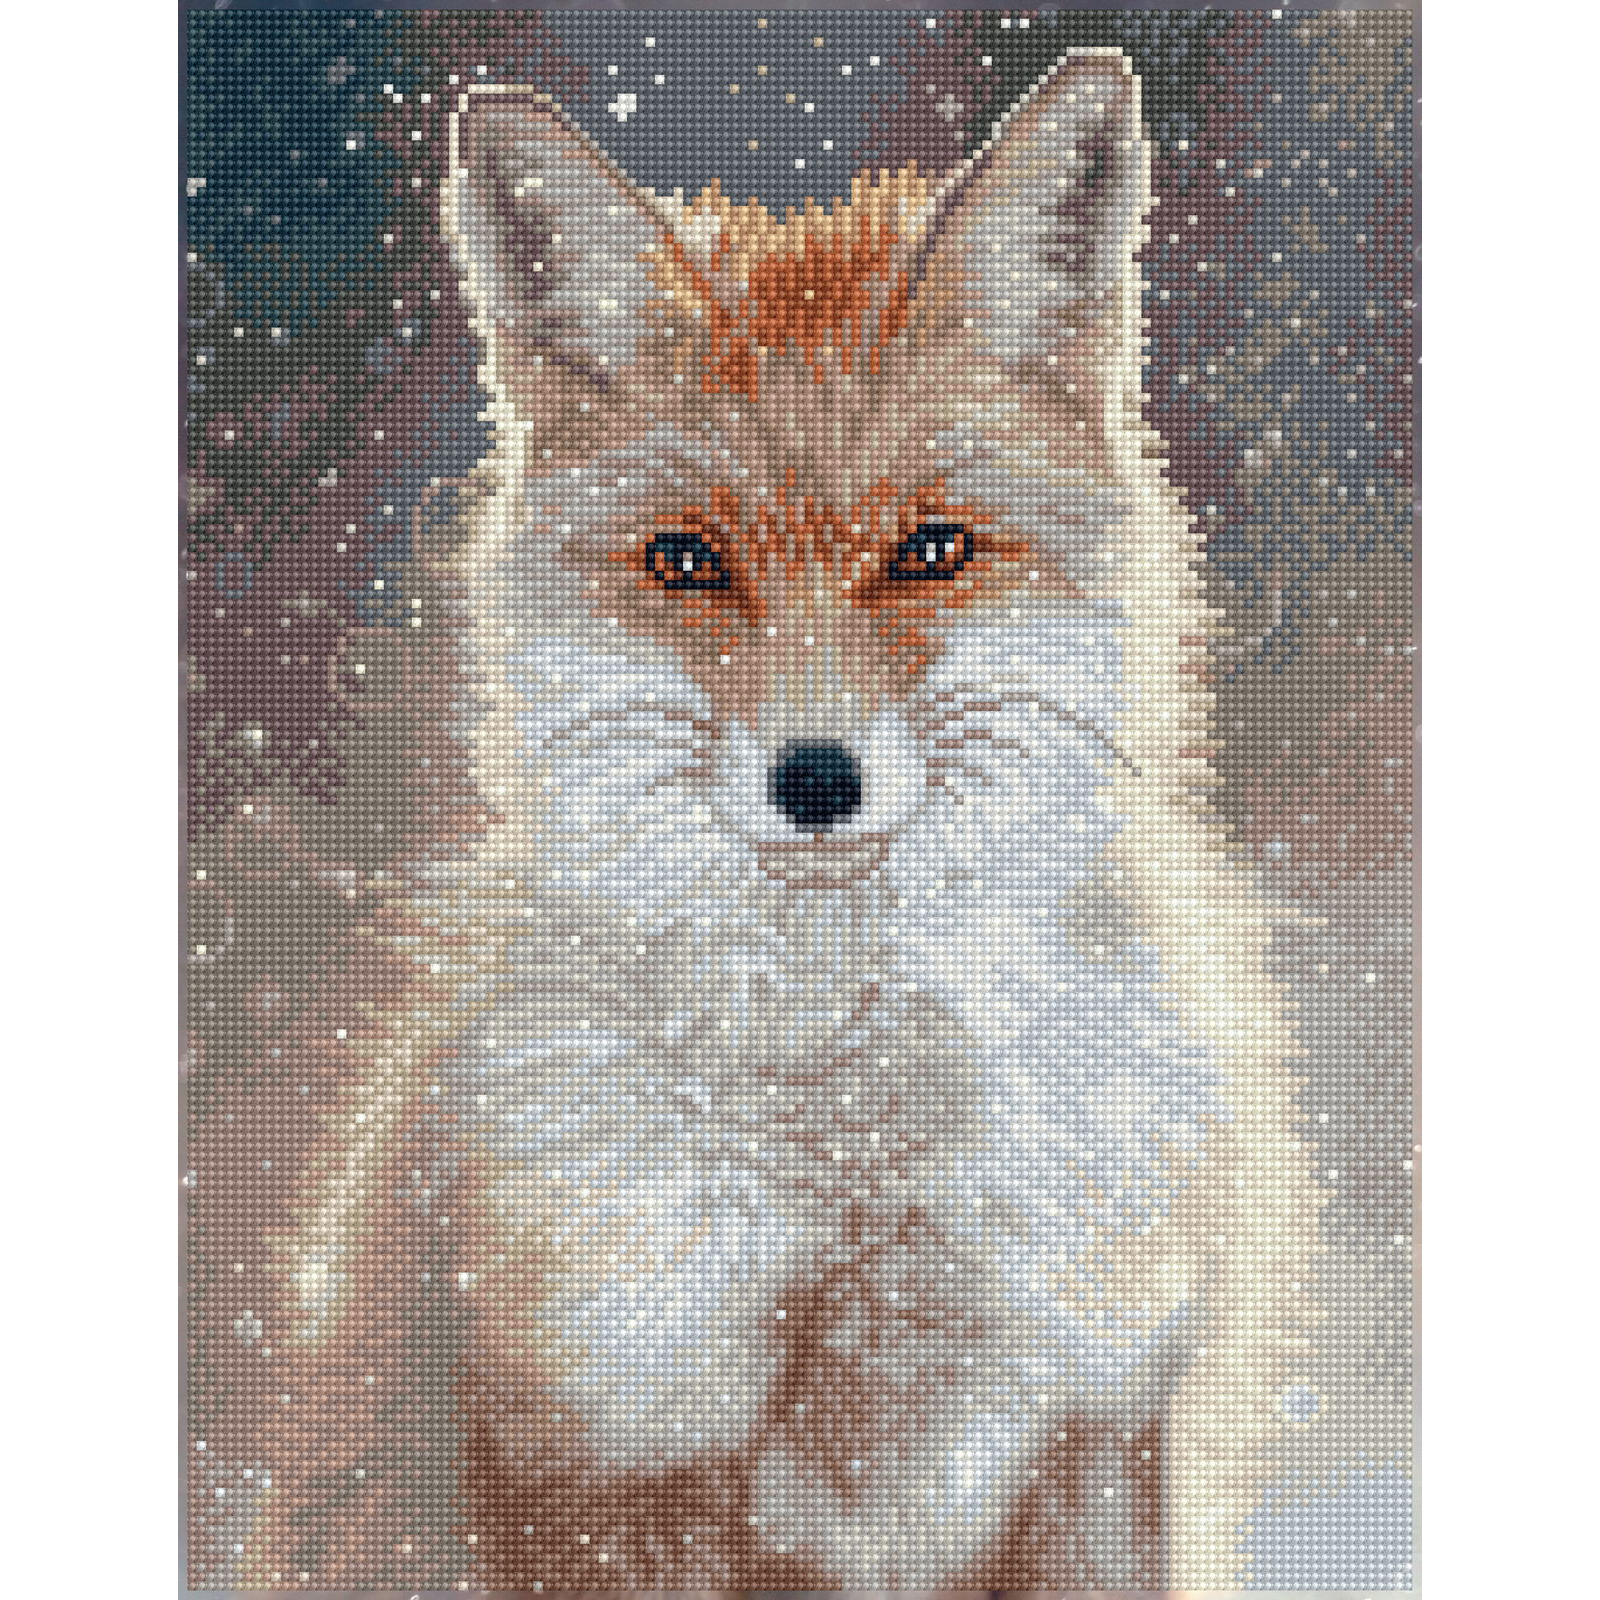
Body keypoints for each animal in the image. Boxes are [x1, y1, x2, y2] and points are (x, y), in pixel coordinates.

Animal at [257, 48, 1323, 1592]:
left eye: (931, 549)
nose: (816, 779)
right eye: (686, 561)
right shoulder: (600, 1462)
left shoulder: (1104, 1421)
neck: (862, 1169)